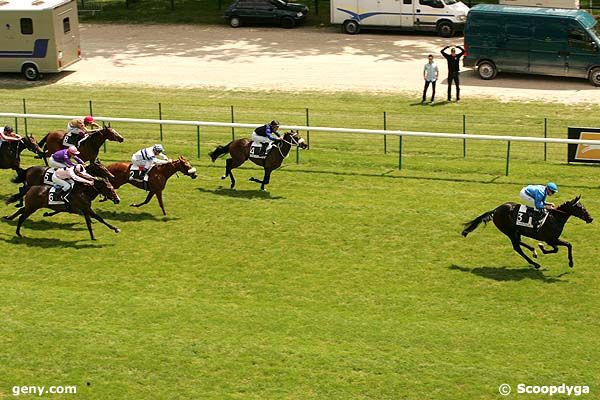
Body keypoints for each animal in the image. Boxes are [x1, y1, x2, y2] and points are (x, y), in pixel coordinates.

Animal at [462, 196, 592, 268]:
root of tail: (495, 210)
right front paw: (570, 263)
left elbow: (559, 248)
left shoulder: (551, 240)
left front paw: (541, 248)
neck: (555, 217)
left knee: (518, 243)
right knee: (517, 247)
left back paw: (533, 252)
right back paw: (535, 261)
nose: (590, 218)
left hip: (515, 231)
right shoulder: (550, 239)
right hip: (509, 231)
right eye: (581, 208)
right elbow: (565, 246)